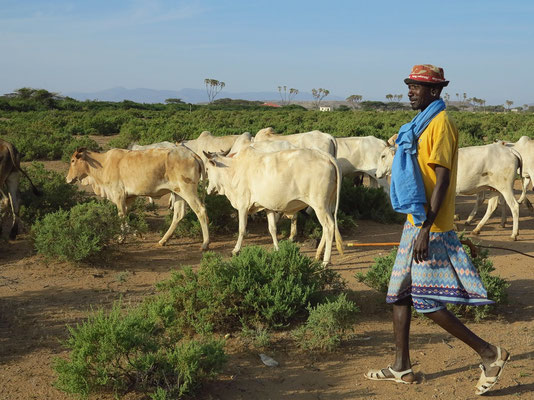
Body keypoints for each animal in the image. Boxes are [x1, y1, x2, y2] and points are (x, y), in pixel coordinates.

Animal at [65, 145, 209, 248]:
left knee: (200, 210)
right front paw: (126, 235)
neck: (103, 164)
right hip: (178, 193)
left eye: (73, 160)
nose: (67, 179)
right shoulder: (129, 198)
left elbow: (121, 216)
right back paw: (163, 240)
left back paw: (205, 243)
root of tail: (193, 154)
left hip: (188, 190)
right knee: (179, 214)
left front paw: (127, 236)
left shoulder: (118, 195)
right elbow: (125, 215)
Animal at [203, 145, 346, 264]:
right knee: (327, 227)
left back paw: (325, 262)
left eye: (207, 169)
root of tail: (326, 156)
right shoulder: (268, 207)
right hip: (327, 205)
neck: (233, 169)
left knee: (329, 227)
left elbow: (242, 229)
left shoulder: (243, 205)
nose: (208, 190)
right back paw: (318, 255)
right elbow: (272, 229)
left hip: (319, 205)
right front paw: (277, 249)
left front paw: (236, 250)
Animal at [376, 142, 524, 239]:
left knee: (514, 206)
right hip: (494, 188)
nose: (377, 173)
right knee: (492, 206)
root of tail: (509, 150)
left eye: (383, 156)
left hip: (505, 187)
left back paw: (514, 234)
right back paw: (477, 229)